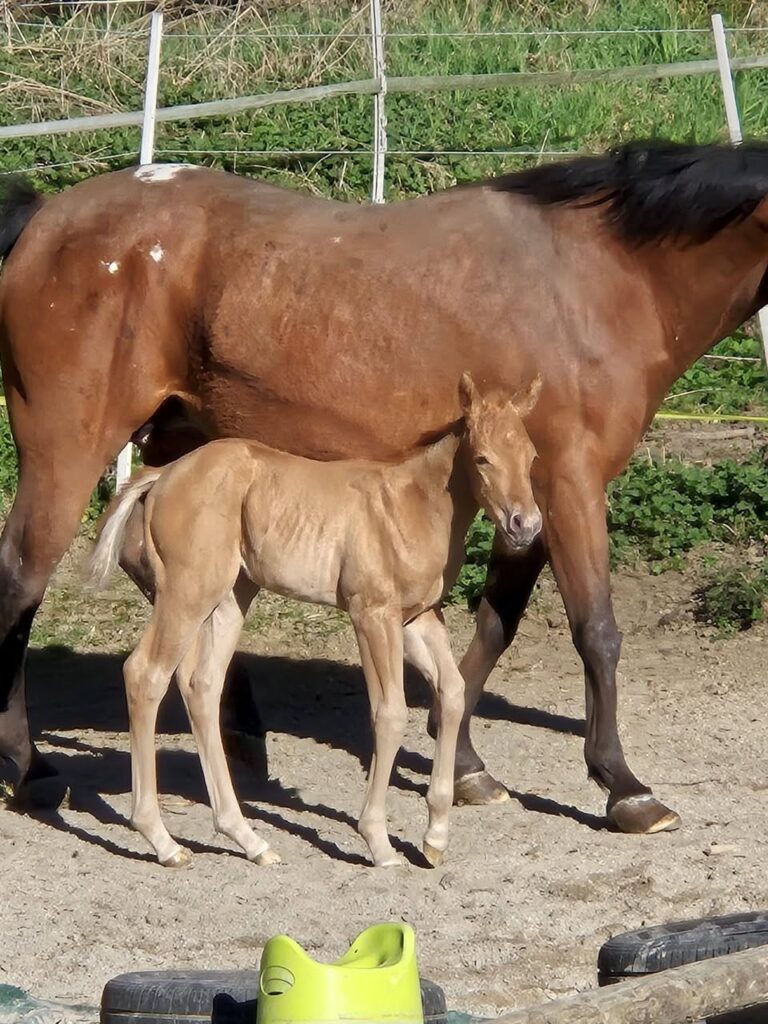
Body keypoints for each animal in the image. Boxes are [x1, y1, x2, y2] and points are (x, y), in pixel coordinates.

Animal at [88, 375, 541, 868]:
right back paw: (163, 841)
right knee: (145, 674)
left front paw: (435, 837)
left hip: (229, 598)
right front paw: (379, 842)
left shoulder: (418, 619)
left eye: (532, 457)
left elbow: (454, 692)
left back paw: (249, 840)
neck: (412, 505)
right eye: (483, 458)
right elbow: (390, 713)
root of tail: (166, 473)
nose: (526, 525)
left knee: (202, 687)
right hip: (188, 592)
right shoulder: (372, 615)